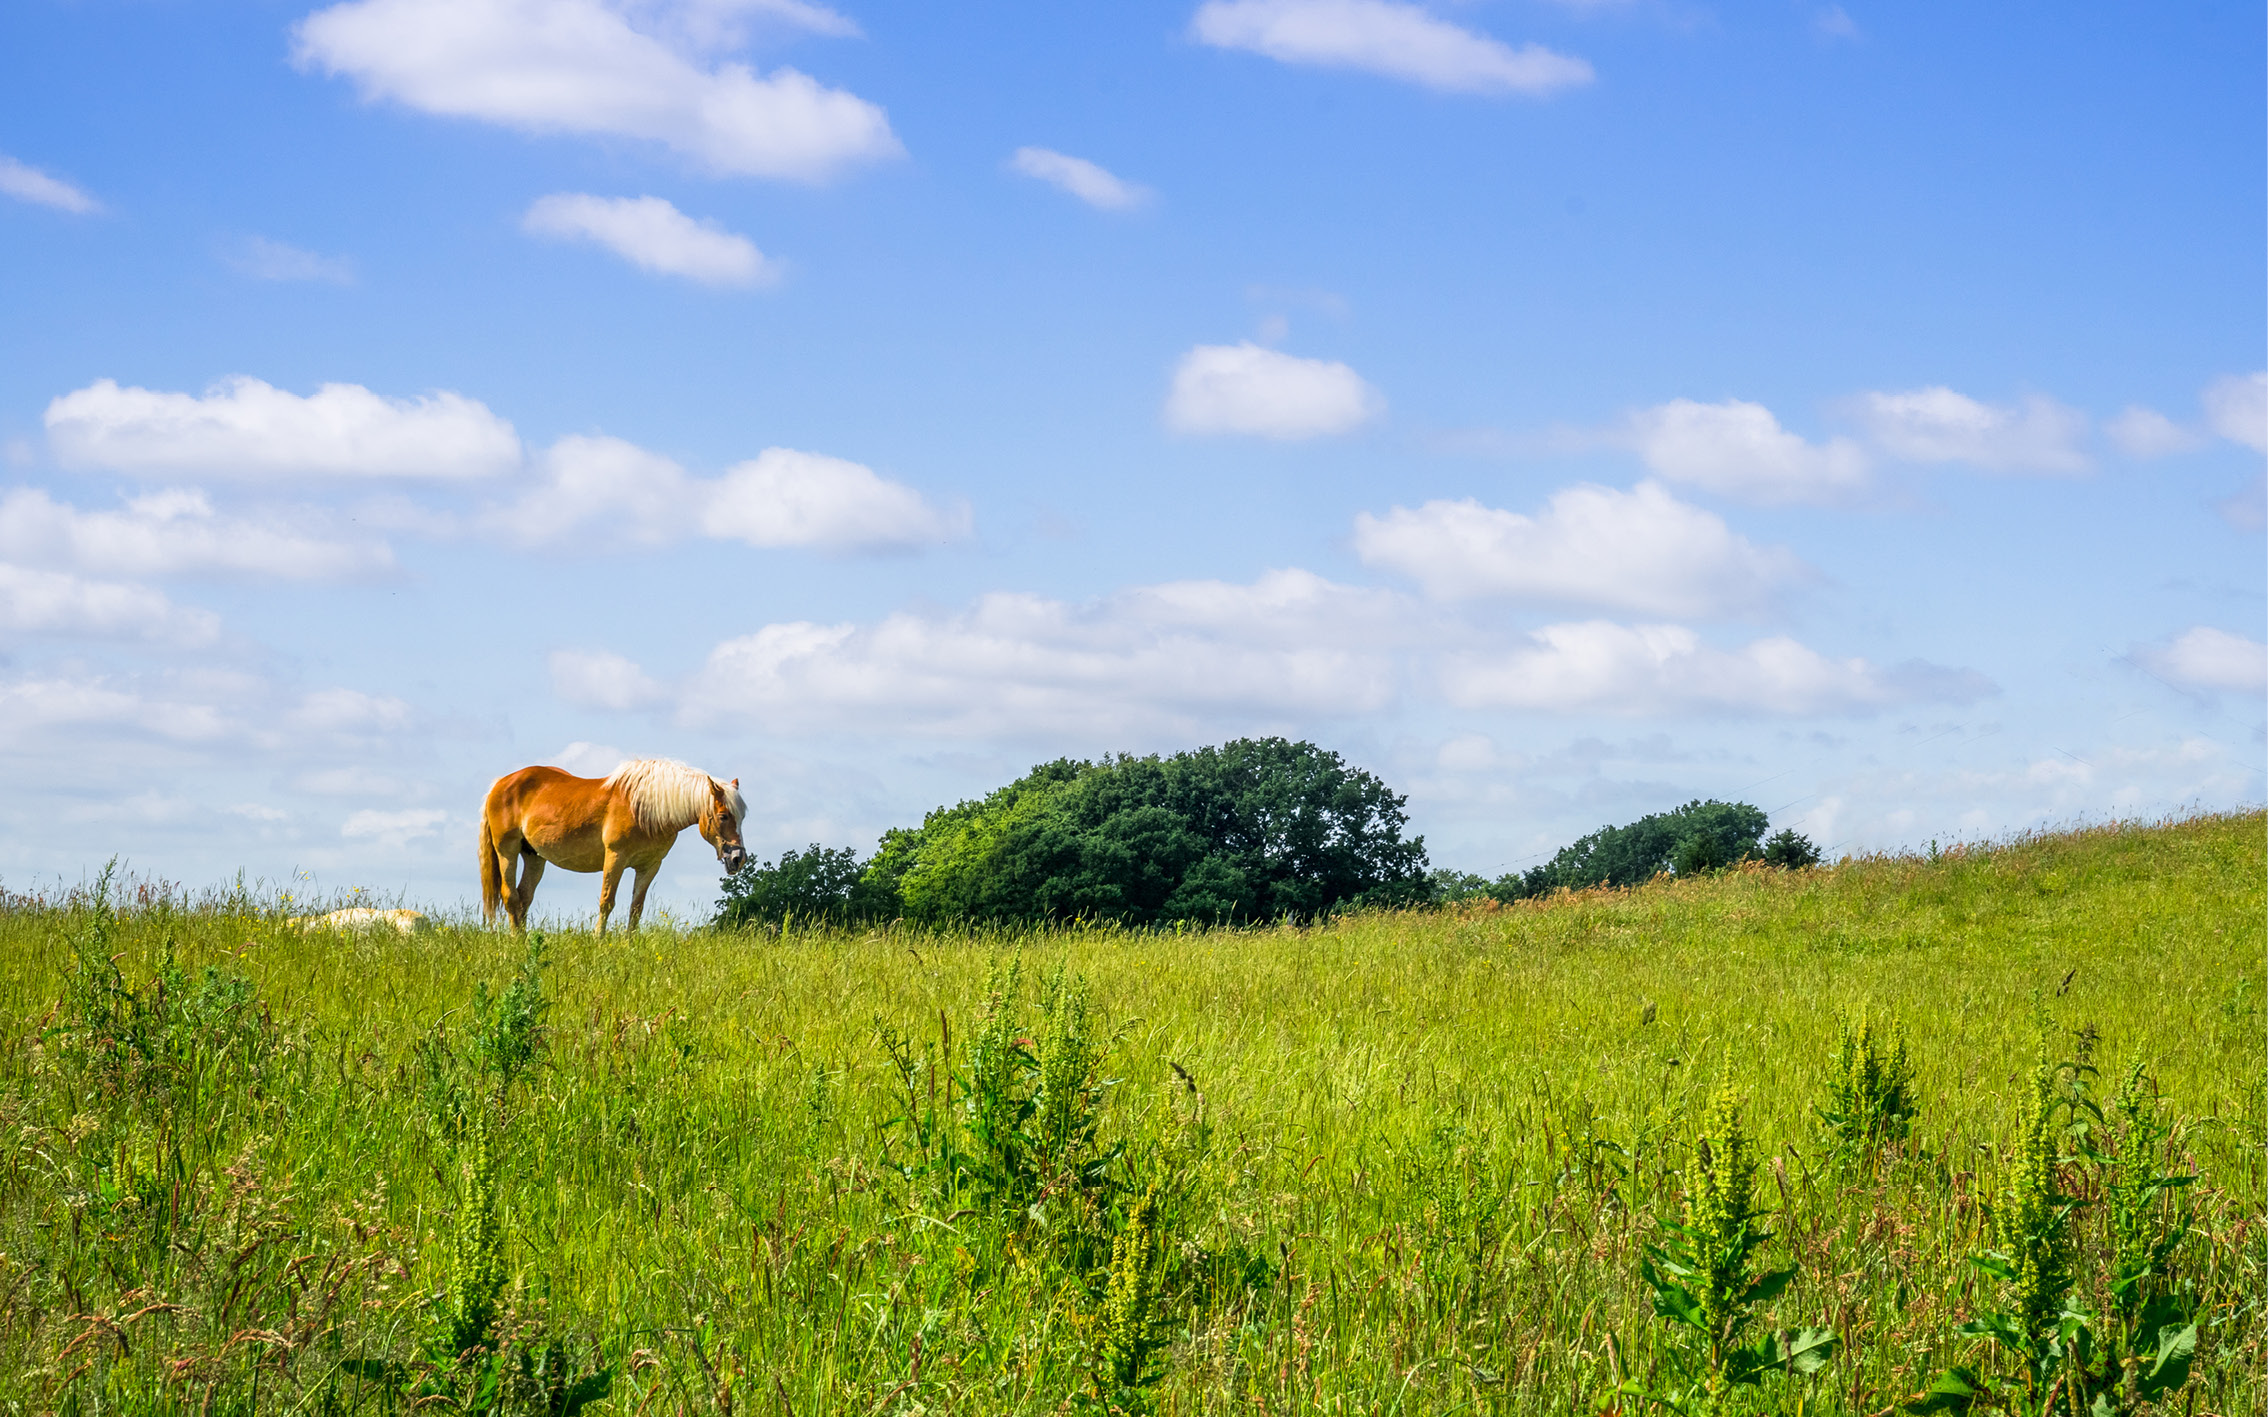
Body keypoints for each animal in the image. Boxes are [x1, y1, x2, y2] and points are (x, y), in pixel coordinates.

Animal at [474, 757, 748, 934]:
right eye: (723, 816)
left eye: (742, 816)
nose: (738, 858)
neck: (645, 809)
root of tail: (500, 783)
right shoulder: (615, 858)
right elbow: (607, 901)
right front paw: (599, 940)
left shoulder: (649, 865)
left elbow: (636, 907)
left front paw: (629, 944)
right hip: (507, 851)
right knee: (510, 897)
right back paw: (515, 942)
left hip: (534, 856)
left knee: (524, 898)